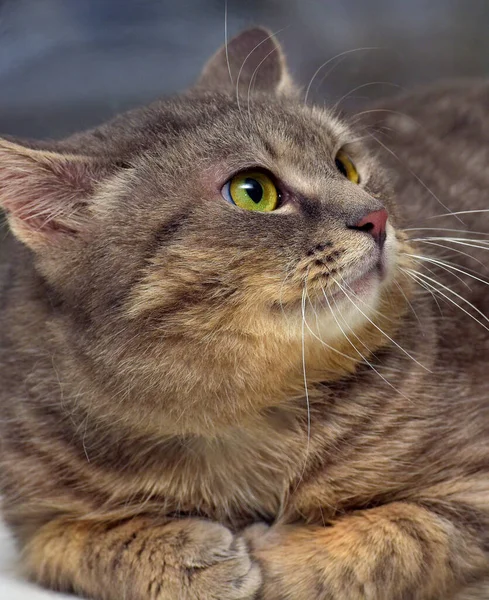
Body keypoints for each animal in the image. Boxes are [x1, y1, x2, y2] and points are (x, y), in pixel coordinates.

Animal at [0, 28, 488, 600]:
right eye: (253, 192)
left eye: (346, 165)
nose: (377, 216)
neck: (236, 418)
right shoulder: (36, 520)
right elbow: (83, 543)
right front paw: (189, 559)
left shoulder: (473, 488)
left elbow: (401, 537)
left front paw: (278, 557)